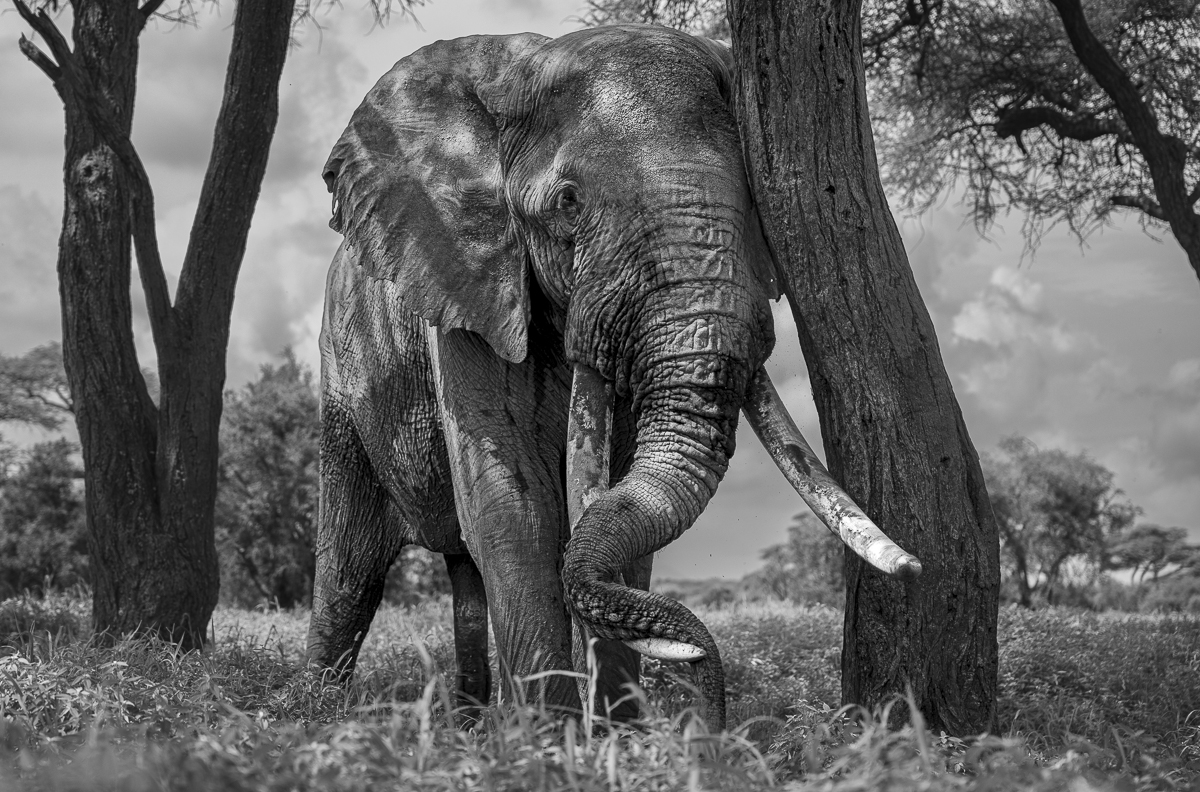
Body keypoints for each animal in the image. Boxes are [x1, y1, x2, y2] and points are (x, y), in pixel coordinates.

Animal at [306, 23, 921, 731]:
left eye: (755, 206)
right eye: (568, 203)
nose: (709, 718)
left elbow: (614, 498)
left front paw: (617, 737)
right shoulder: (466, 285)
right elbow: (515, 505)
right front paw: (550, 740)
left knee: (462, 574)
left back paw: (467, 726)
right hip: (341, 373)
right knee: (349, 573)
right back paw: (313, 716)